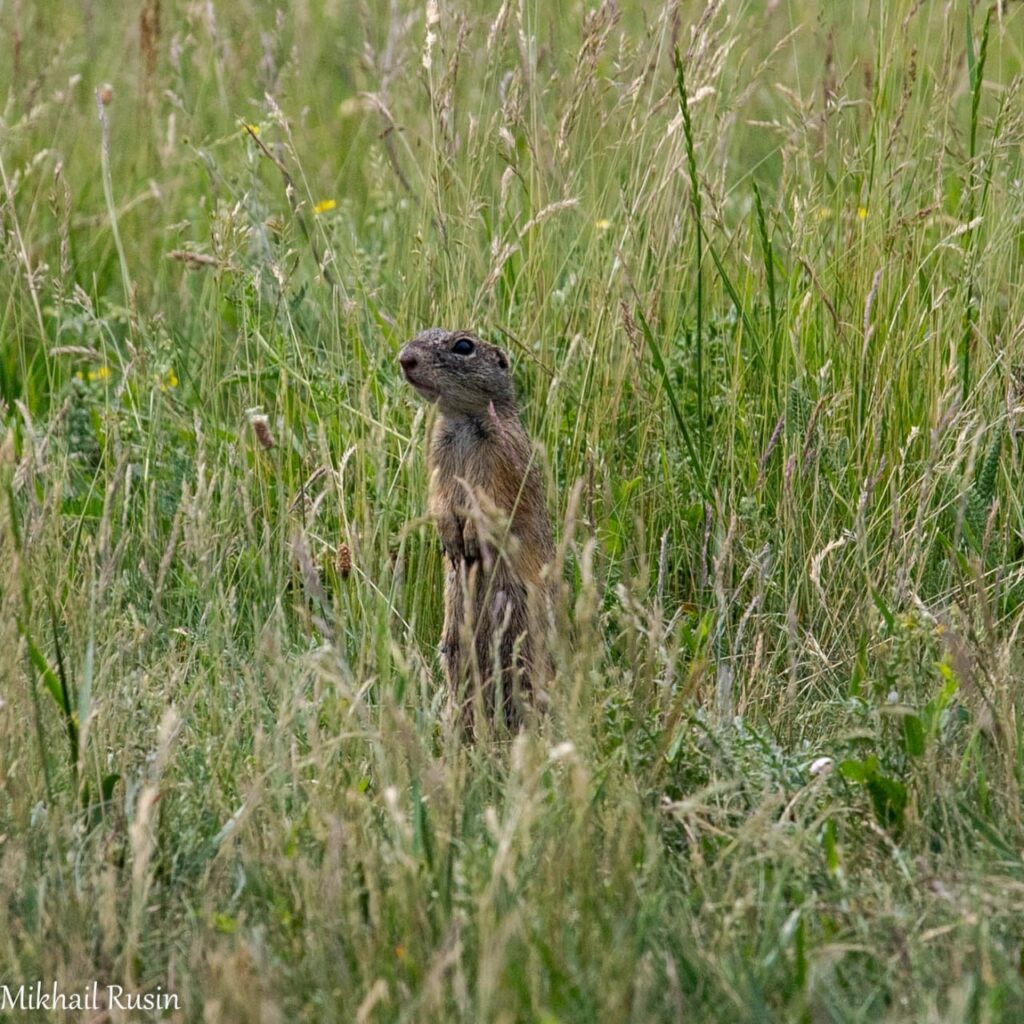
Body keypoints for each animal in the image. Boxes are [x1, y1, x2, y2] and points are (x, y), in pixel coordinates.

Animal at [399, 327, 555, 727]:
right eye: (420, 334)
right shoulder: (438, 455)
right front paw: (450, 537)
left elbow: (491, 501)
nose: (404, 359)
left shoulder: (502, 455)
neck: (462, 420)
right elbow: (439, 498)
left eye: (464, 346)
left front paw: (469, 536)